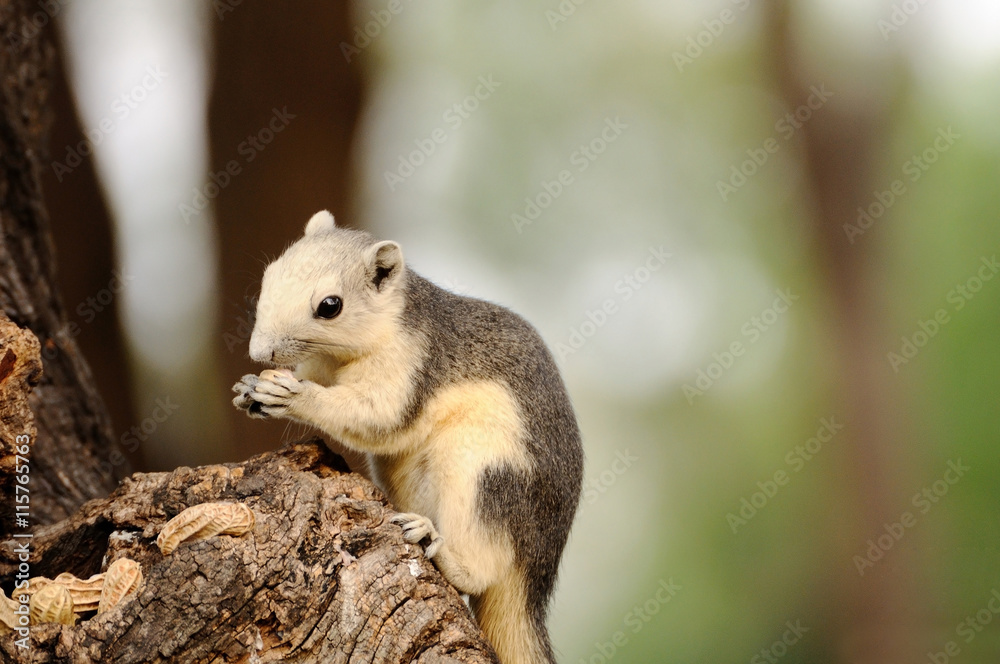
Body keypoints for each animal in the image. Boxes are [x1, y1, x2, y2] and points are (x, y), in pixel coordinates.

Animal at [232, 211, 583, 664]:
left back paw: (441, 548)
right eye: (270, 274)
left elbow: (375, 417)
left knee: (484, 571)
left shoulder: (407, 369)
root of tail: (538, 568)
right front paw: (249, 390)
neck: (340, 355)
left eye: (330, 306)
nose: (260, 353)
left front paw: (293, 396)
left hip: (482, 474)